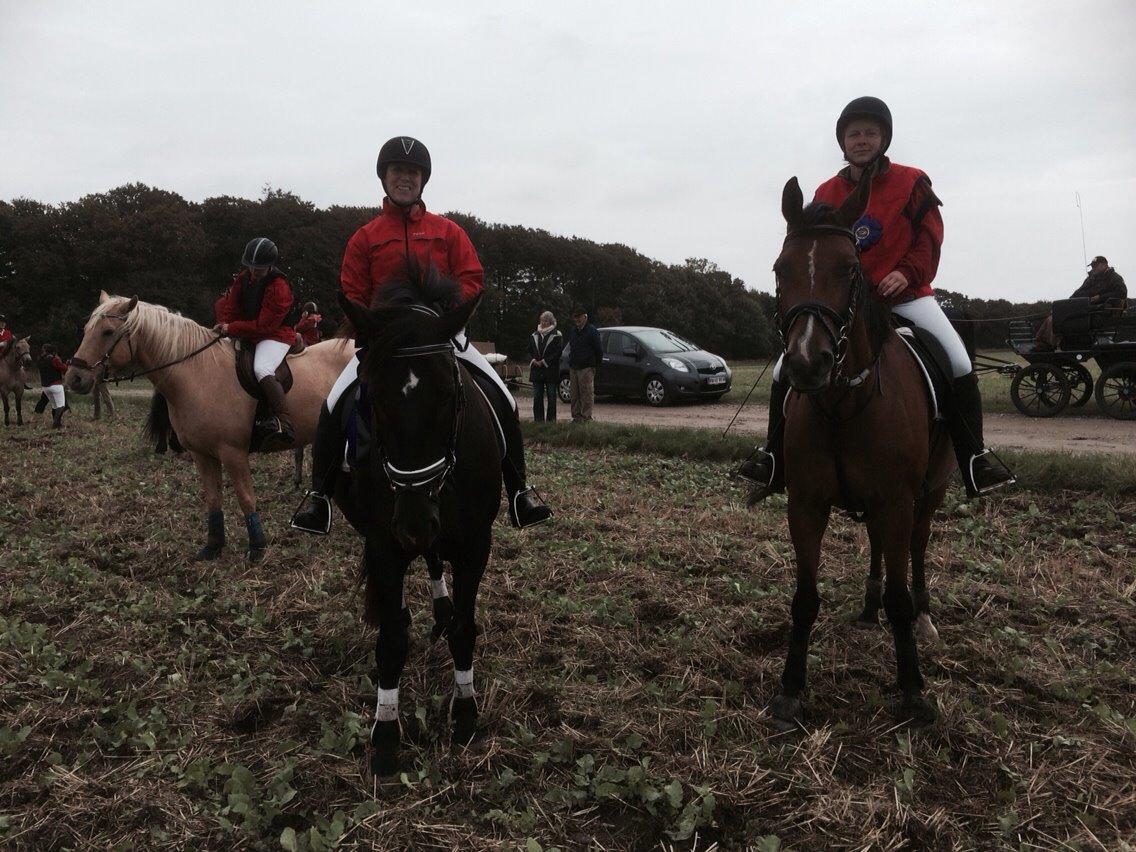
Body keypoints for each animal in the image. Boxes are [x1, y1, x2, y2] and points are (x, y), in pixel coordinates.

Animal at [63, 293, 354, 568]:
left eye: (107, 332)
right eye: (87, 329)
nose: (74, 378)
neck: (198, 373)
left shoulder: (233, 453)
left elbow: (246, 498)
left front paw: (257, 548)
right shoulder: (201, 454)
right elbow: (213, 499)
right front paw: (213, 546)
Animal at [333, 271, 499, 781]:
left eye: (449, 394)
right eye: (373, 398)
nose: (412, 522)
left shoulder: (475, 543)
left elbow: (466, 627)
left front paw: (464, 713)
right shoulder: (383, 543)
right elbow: (390, 642)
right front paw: (386, 736)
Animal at [767, 171, 954, 727]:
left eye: (850, 269)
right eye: (780, 269)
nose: (807, 362)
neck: (844, 404)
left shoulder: (897, 500)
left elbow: (900, 595)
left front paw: (913, 690)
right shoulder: (807, 504)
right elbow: (805, 597)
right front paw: (791, 688)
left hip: (929, 493)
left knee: (916, 547)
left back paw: (925, 619)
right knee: (878, 547)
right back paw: (869, 607)